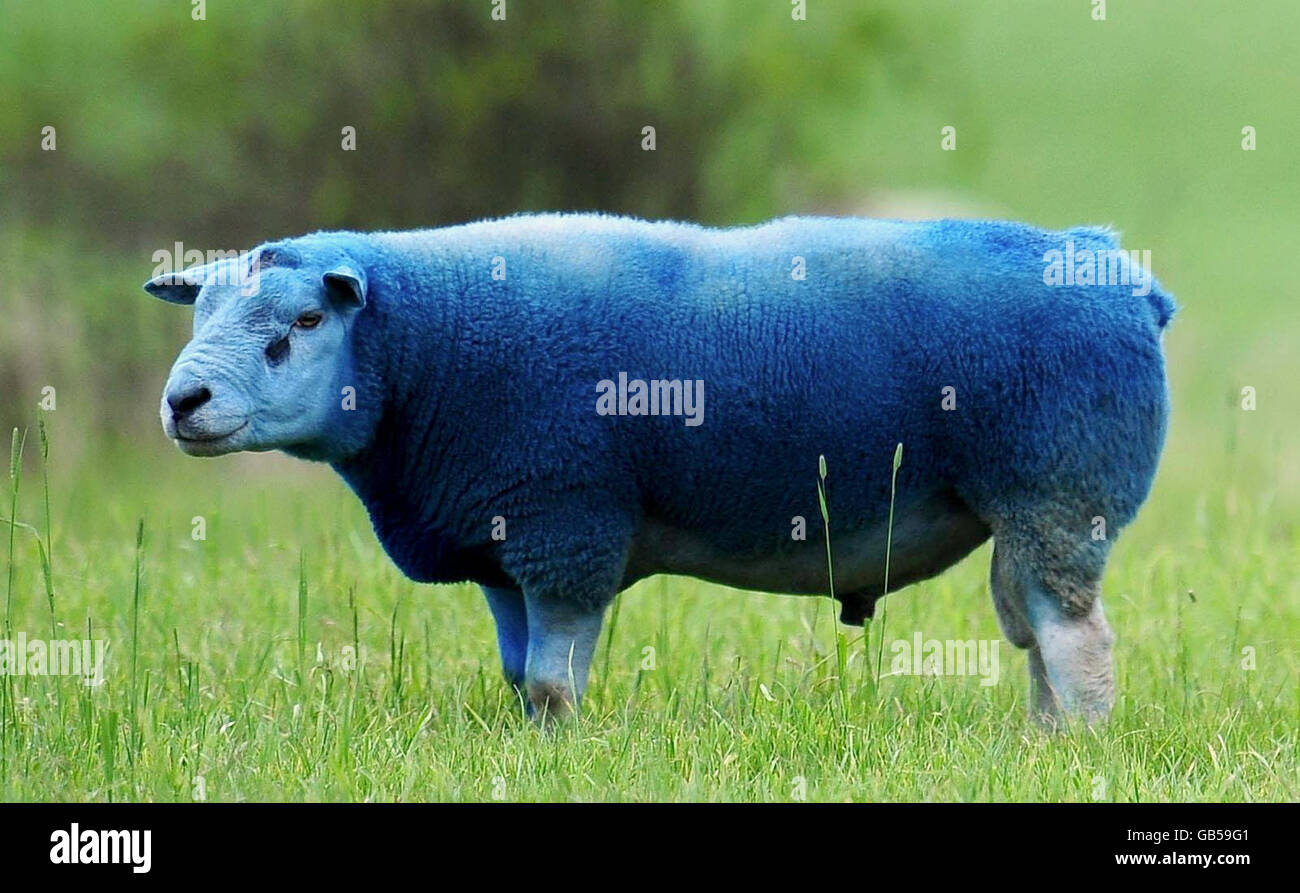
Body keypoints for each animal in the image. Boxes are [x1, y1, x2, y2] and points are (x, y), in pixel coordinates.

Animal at [147, 217, 1175, 727]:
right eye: (199, 311)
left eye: (303, 323)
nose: (183, 401)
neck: (426, 353)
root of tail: (1121, 272)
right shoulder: (506, 540)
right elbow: (519, 676)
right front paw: (530, 751)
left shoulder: (567, 525)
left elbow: (553, 681)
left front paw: (563, 752)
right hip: (1034, 511)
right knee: (1036, 637)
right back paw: (1038, 742)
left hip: (1061, 490)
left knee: (1076, 641)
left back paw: (1077, 749)